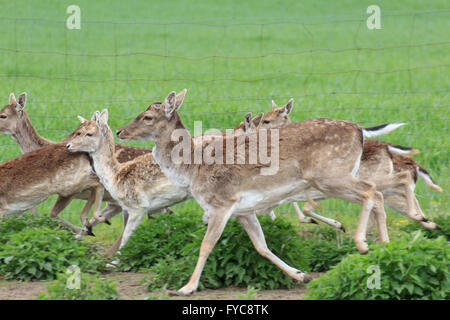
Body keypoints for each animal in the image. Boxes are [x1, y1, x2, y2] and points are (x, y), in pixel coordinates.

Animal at [65, 109, 192, 262]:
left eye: (88, 133)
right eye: (77, 129)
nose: (68, 145)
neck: (116, 176)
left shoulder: (139, 206)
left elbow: (126, 236)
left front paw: (115, 261)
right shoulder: (150, 207)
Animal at [117, 89, 412, 296]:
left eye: (147, 117)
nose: (120, 130)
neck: (193, 169)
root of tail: (360, 130)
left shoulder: (221, 202)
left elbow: (206, 245)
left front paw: (186, 288)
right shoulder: (243, 211)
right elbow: (261, 246)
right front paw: (300, 275)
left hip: (330, 175)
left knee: (371, 191)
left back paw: (363, 244)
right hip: (333, 179)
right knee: (377, 194)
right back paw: (384, 245)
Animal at [253, 99, 442, 230]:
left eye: (267, 120)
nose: (253, 131)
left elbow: (298, 206)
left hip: (379, 182)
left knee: (402, 187)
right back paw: (429, 223)